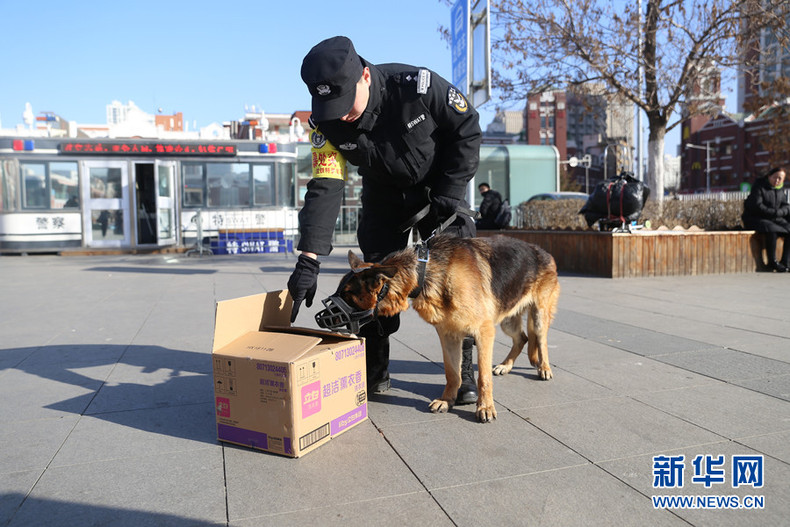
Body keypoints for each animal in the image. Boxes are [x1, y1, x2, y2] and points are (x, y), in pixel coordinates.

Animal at [332, 235, 560, 424]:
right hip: (508, 320)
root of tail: (545, 252)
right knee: (522, 338)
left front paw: (485, 407)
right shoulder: (448, 335)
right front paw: (447, 400)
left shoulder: (484, 332)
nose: (323, 315)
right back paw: (506, 366)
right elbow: (452, 372)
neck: (424, 272)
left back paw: (544, 368)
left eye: (346, 296)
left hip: (537, 317)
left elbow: (483, 376)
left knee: (541, 340)